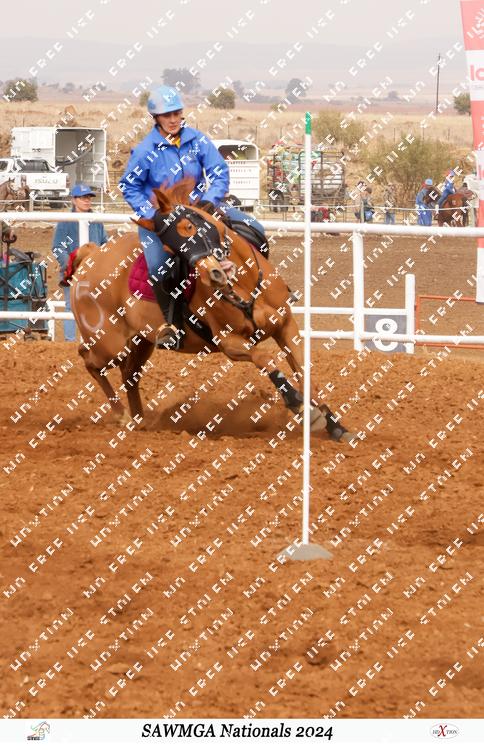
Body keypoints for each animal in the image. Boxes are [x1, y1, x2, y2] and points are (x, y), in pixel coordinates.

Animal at [70, 180, 352, 442]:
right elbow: (265, 359)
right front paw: (299, 405)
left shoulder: (286, 326)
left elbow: (306, 374)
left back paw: (142, 421)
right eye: (170, 249)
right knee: (89, 360)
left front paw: (335, 426)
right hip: (109, 343)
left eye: (189, 227)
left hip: (141, 341)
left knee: (129, 374)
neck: (244, 286)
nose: (213, 274)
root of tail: (91, 256)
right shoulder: (229, 343)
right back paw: (122, 416)